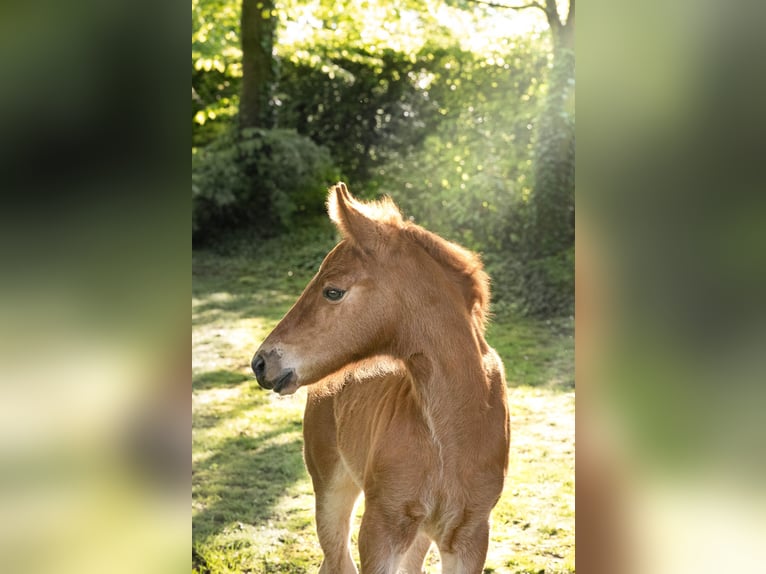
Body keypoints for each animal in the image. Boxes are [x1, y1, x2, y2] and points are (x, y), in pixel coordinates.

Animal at [255, 186, 512, 574]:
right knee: (336, 559)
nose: (261, 362)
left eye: (333, 291)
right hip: (330, 489)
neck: (452, 432)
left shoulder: (469, 535)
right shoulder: (381, 528)